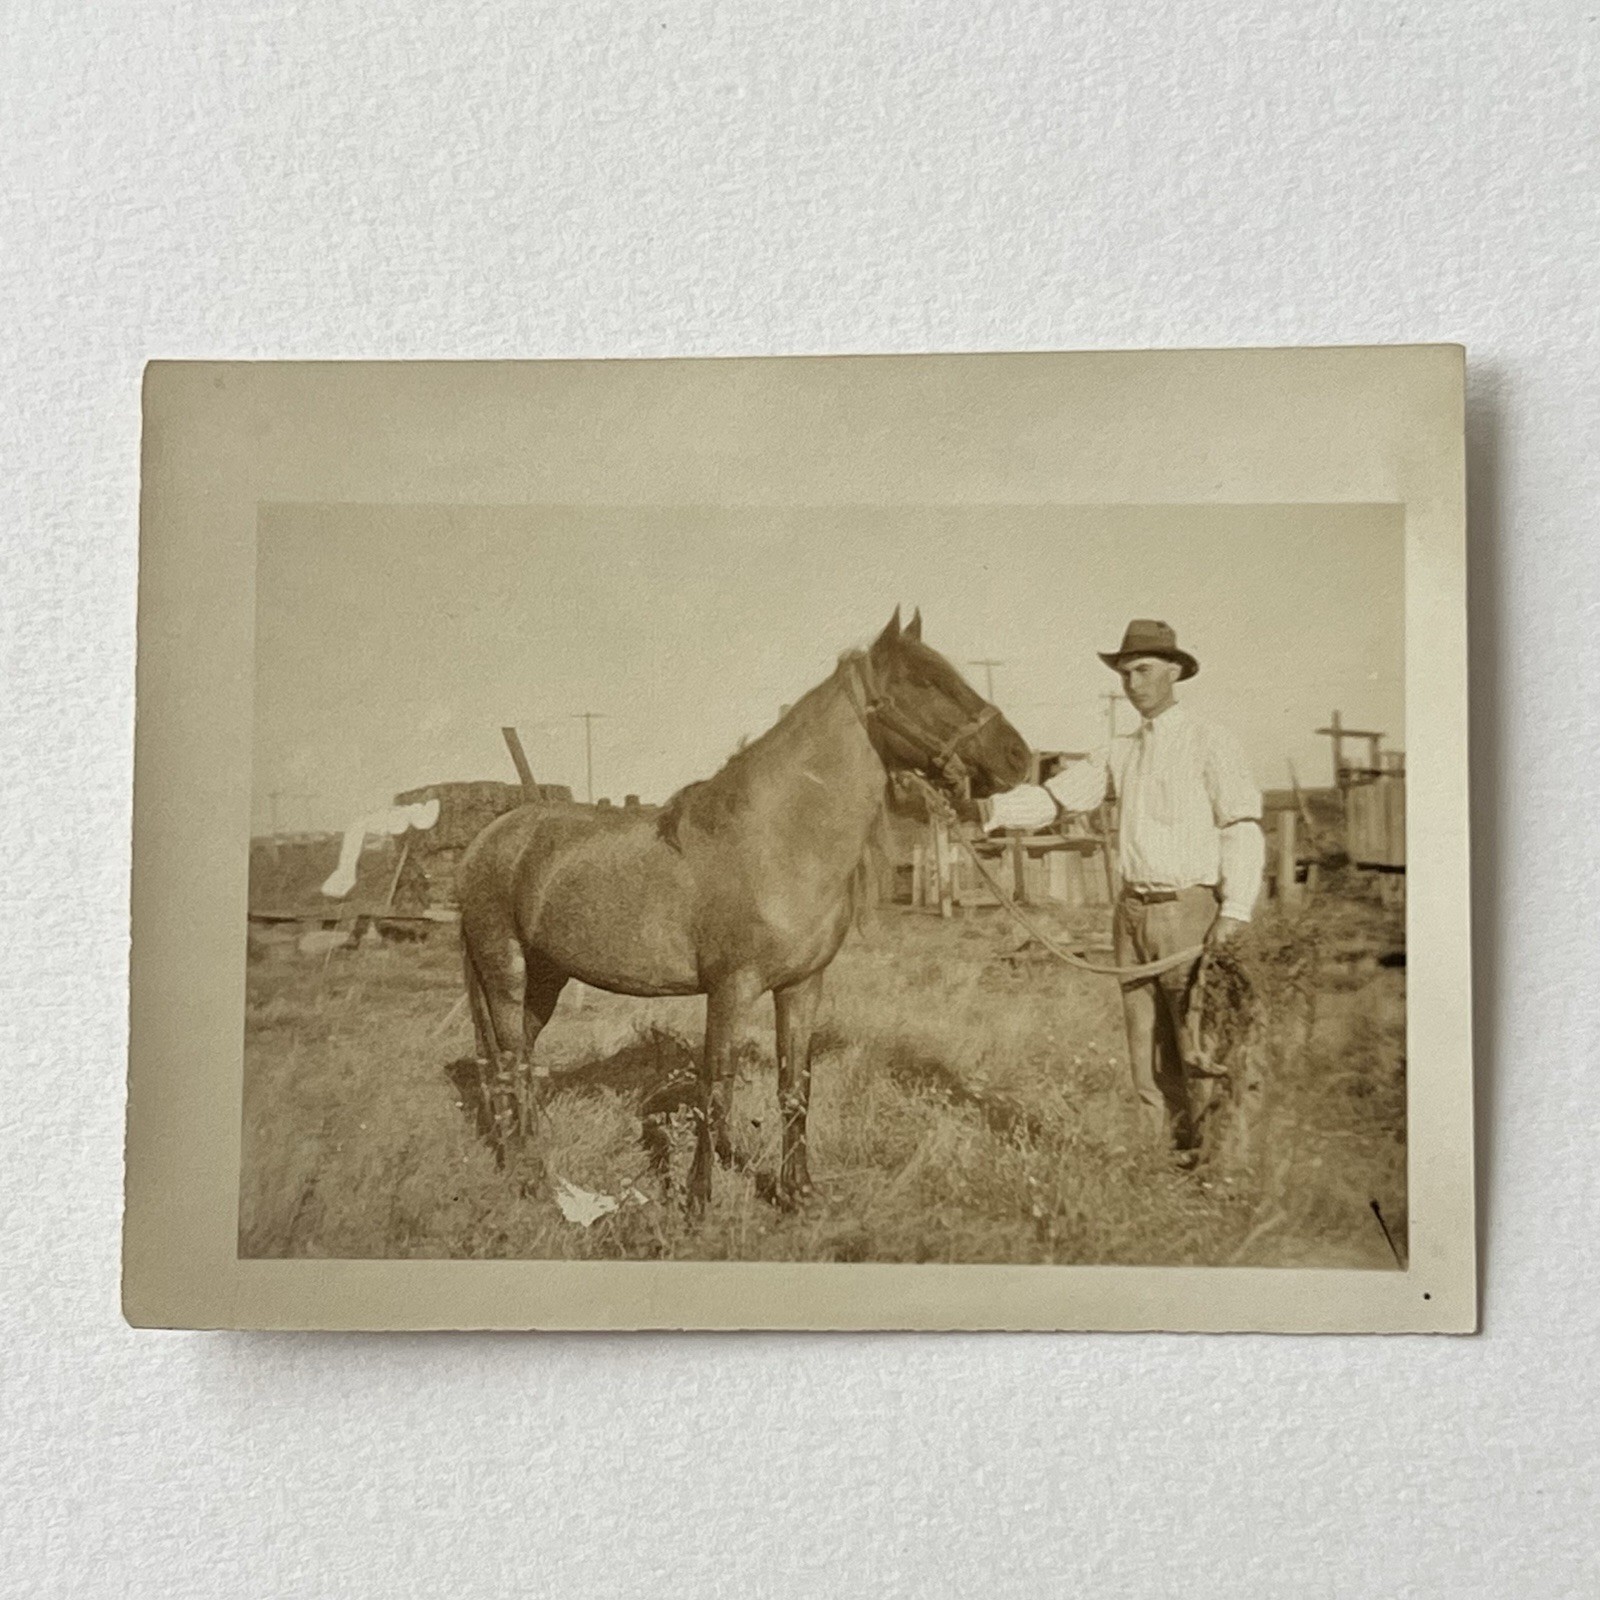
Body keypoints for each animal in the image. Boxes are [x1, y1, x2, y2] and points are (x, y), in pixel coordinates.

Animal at [455, 608, 1032, 1210]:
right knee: (510, 1061)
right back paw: (529, 1175)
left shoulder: (802, 986)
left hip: (546, 977)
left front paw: (796, 1191)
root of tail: (488, 839)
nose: (1020, 757)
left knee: (515, 1059)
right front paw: (698, 1200)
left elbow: (794, 1087)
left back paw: (523, 1153)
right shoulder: (729, 990)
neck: (774, 842)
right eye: (925, 682)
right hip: (505, 971)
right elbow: (717, 1090)